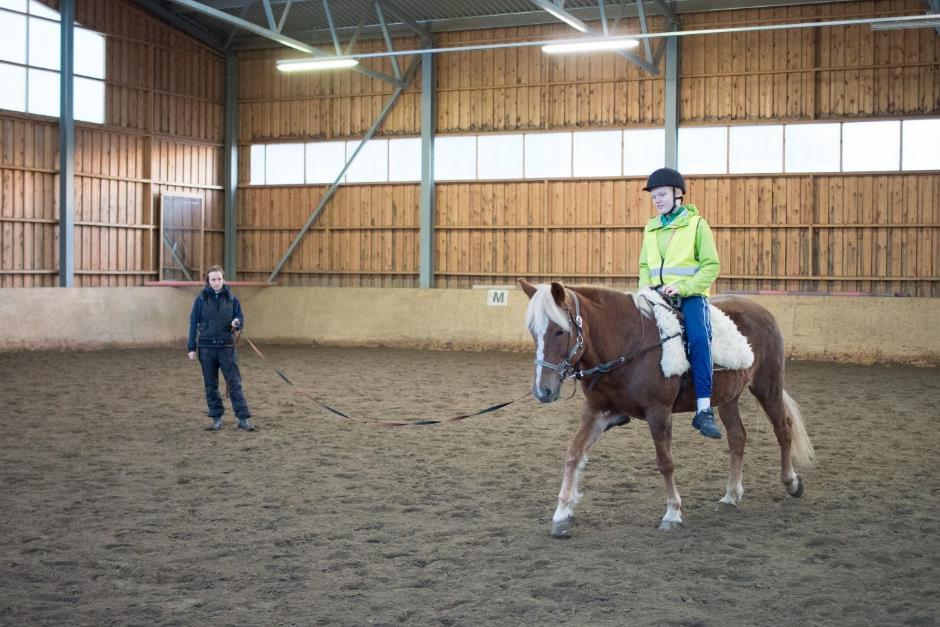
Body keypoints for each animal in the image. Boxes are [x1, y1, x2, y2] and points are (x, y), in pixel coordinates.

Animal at [516, 280, 816, 540]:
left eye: (560, 331)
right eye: (533, 331)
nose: (542, 391)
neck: (626, 343)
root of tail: (762, 311)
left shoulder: (658, 412)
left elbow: (665, 462)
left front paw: (672, 513)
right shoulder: (597, 411)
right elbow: (574, 454)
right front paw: (561, 515)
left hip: (768, 386)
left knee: (783, 429)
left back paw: (791, 482)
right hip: (728, 397)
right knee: (738, 438)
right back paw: (731, 496)